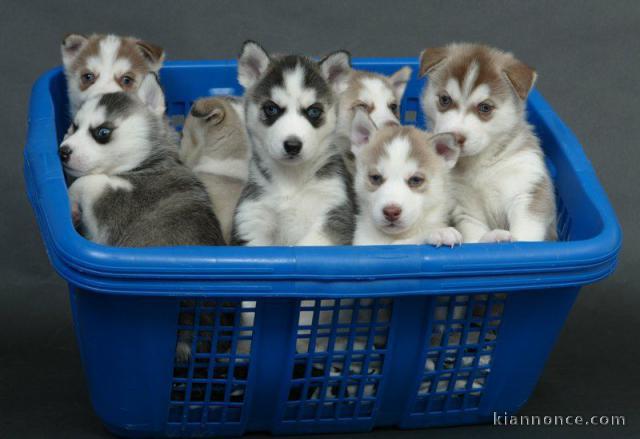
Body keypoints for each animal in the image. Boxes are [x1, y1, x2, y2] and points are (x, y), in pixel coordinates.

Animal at [59, 74, 225, 249]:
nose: (63, 152)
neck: (144, 164)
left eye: (103, 132)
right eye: (75, 126)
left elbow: (87, 181)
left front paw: (71, 202)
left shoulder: (115, 211)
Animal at [232, 41, 358, 248]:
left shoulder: (333, 212)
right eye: (271, 108)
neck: (291, 180)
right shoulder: (252, 219)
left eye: (314, 111)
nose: (292, 145)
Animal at [348, 109, 462, 248]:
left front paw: (439, 231)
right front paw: (438, 232)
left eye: (415, 180)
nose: (391, 212)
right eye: (375, 178)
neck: (392, 238)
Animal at [420, 43, 556, 244]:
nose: (456, 137)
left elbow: (526, 235)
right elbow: (475, 238)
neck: (480, 163)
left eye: (485, 107)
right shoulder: (467, 211)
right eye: (445, 99)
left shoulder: (528, 192)